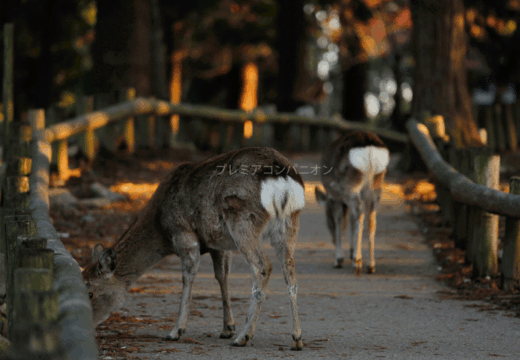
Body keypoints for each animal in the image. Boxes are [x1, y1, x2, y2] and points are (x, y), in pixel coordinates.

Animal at [81, 146, 304, 348]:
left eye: (90, 292)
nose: (90, 327)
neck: (160, 226)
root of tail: (282, 177)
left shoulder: (183, 233)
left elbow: (188, 277)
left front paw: (175, 331)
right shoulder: (218, 244)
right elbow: (222, 276)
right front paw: (227, 328)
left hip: (243, 222)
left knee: (263, 266)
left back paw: (244, 336)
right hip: (289, 223)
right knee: (290, 269)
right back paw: (296, 338)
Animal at [312, 131, 390, 274]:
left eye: (328, 221)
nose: (332, 240)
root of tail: (368, 143)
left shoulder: (335, 196)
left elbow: (340, 221)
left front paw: (339, 259)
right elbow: (351, 220)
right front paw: (352, 252)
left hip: (350, 185)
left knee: (359, 210)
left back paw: (357, 262)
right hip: (377, 183)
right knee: (371, 216)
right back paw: (370, 265)